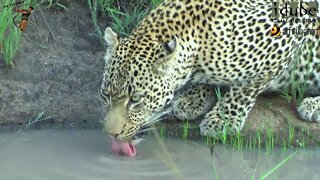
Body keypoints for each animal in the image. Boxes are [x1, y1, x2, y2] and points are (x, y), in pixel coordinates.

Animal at [100, 0, 320, 146]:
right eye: (105, 94)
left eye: (136, 99)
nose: (110, 134)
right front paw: (192, 98)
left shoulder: (286, 29)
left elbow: (245, 88)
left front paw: (222, 120)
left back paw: (312, 106)